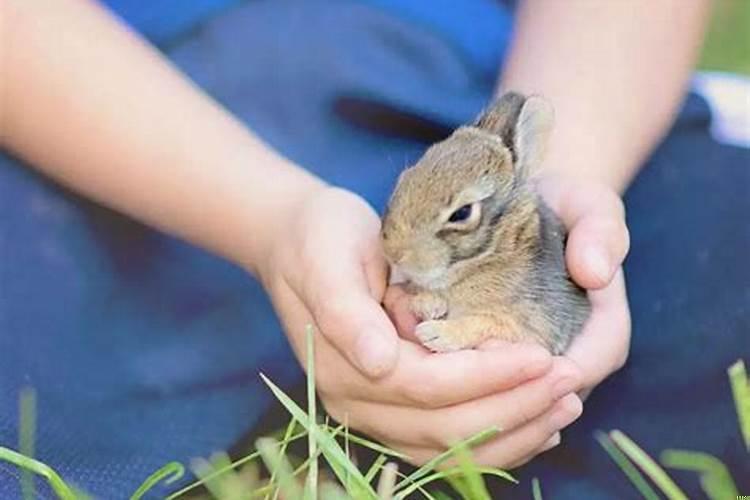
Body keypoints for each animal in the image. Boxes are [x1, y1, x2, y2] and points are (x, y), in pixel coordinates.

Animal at [382, 91, 592, 356]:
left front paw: (437, 334)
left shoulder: (537, 329)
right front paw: (428, 304)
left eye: (462, 213)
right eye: (405, 178)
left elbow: (487, 322)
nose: (394, 253)